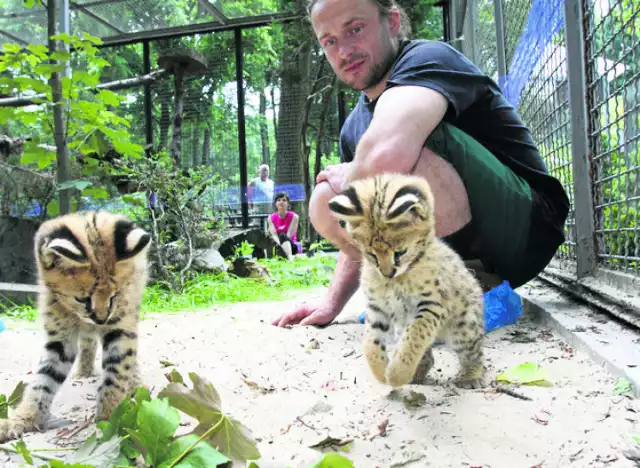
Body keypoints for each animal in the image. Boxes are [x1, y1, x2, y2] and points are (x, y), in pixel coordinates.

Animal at [0, 210, 151, 440]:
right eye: (82, 299)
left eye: (114, 295)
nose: (101, 319)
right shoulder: (59, 338)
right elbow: (43, 379)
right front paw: (24, 418)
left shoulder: (120, 327)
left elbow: (117, 371)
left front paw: (110, 417)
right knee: (88, 341)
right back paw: (86, 369)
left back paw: (135, 381)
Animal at [330, 174, 484, 390]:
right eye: (372, 255)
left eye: (400, 253)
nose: (387, 274)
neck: (398, 279)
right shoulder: (377, 307)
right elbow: (371, 342)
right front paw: (381, 373)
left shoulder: (432, 304)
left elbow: (415, 336)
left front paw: (396, 374)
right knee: (427, 355)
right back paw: (416, 376)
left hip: (463, 324)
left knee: (473, 350)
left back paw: (470, 376)